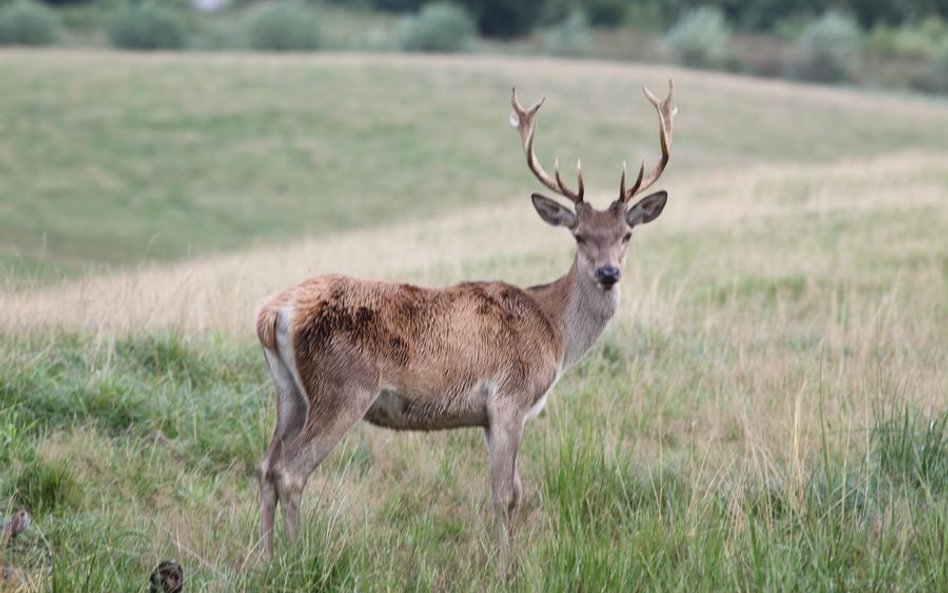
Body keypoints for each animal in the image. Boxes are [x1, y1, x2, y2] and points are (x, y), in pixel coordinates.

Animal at [256, 81, 676, 572]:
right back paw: (297, 559)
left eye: (627, 234)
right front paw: (506, 569)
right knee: (291, 471)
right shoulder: (510, 397)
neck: (554, 330)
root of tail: (273, 313)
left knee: (266, 466)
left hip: (289, 392)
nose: (609, 272)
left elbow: (513, 491)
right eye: (579, 236)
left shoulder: (489, 415)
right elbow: (506, 494)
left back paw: (263, 559)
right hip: (341, 388)